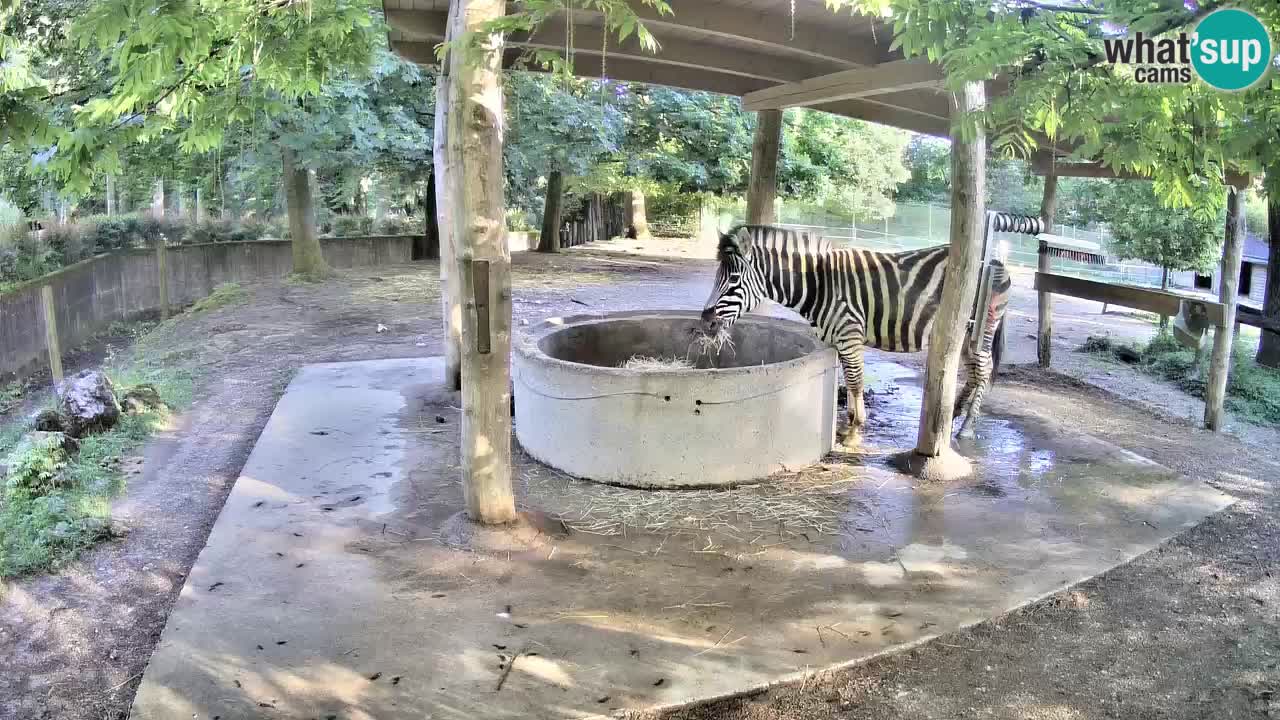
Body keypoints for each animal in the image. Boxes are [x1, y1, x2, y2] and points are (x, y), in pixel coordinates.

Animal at [698, 224, 1011, 441]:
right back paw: (955, 413)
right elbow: (847, 382)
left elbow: (855, 380)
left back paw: (967, 427)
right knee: (973, 372)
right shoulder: (837, 339)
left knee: (983, 371)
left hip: (981, 328)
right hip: (963, 333)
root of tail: (994, 261)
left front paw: (854, 432)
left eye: (734, 279)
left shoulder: (850, 334)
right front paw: (848, 422)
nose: (706, 322)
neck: (820, 285)